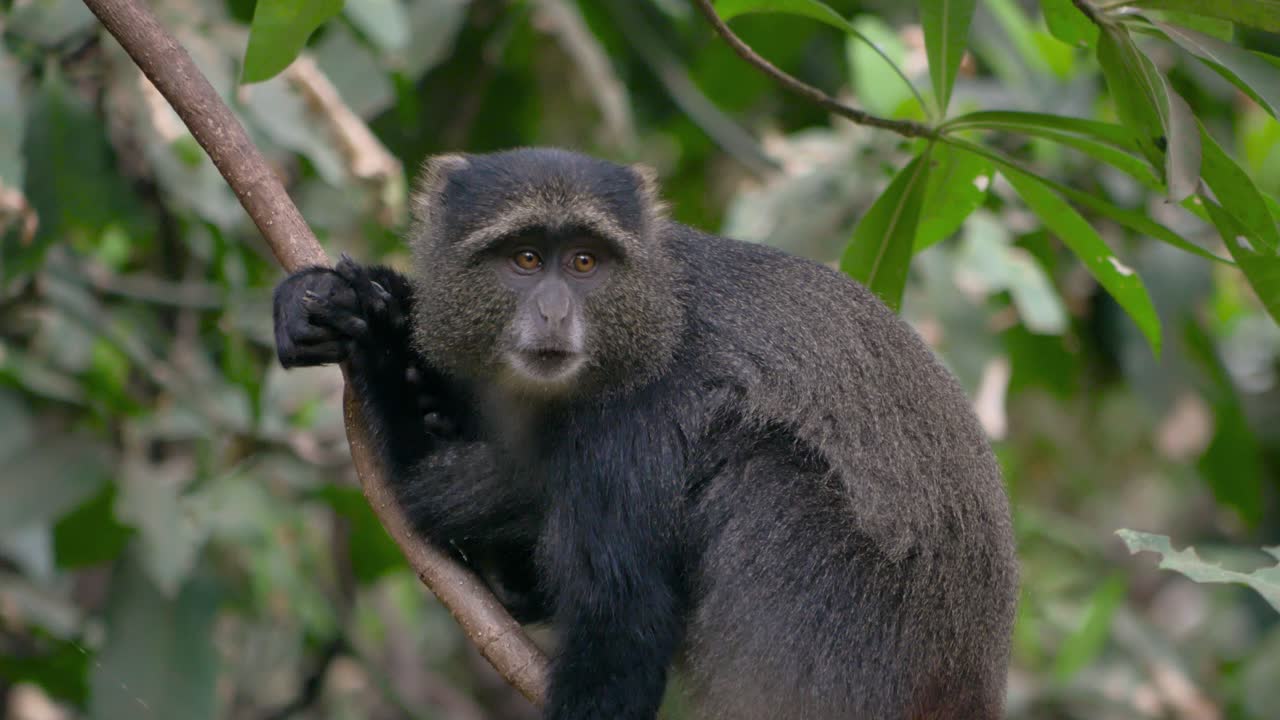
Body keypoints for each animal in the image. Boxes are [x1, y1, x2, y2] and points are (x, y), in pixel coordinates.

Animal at [273, 148, 1018, 720]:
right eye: (524, 258)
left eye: (584, 263)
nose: (552, 314)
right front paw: (346, 308)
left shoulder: (633, 424)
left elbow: (621, 622)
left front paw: (380, 343)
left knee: (760, 468)